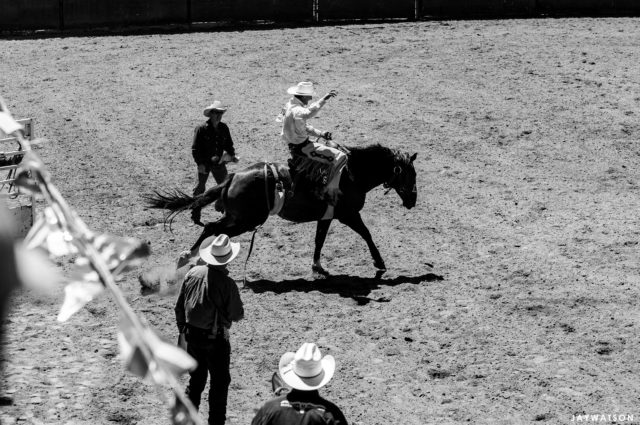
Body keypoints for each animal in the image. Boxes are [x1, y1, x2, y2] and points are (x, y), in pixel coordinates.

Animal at [146, 142, 420, 274]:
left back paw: (189, 258)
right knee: (214, 228)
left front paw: (317, 266)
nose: (413, 200)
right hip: (247, 220)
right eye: (410, 174)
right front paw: (379, 262)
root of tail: (233, 177)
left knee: (212, 228)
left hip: (239, 218)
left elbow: (319, 240)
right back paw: (188, 257)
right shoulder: (348, 215)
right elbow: (366, 234)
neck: (351, 174)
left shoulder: (327, 217)